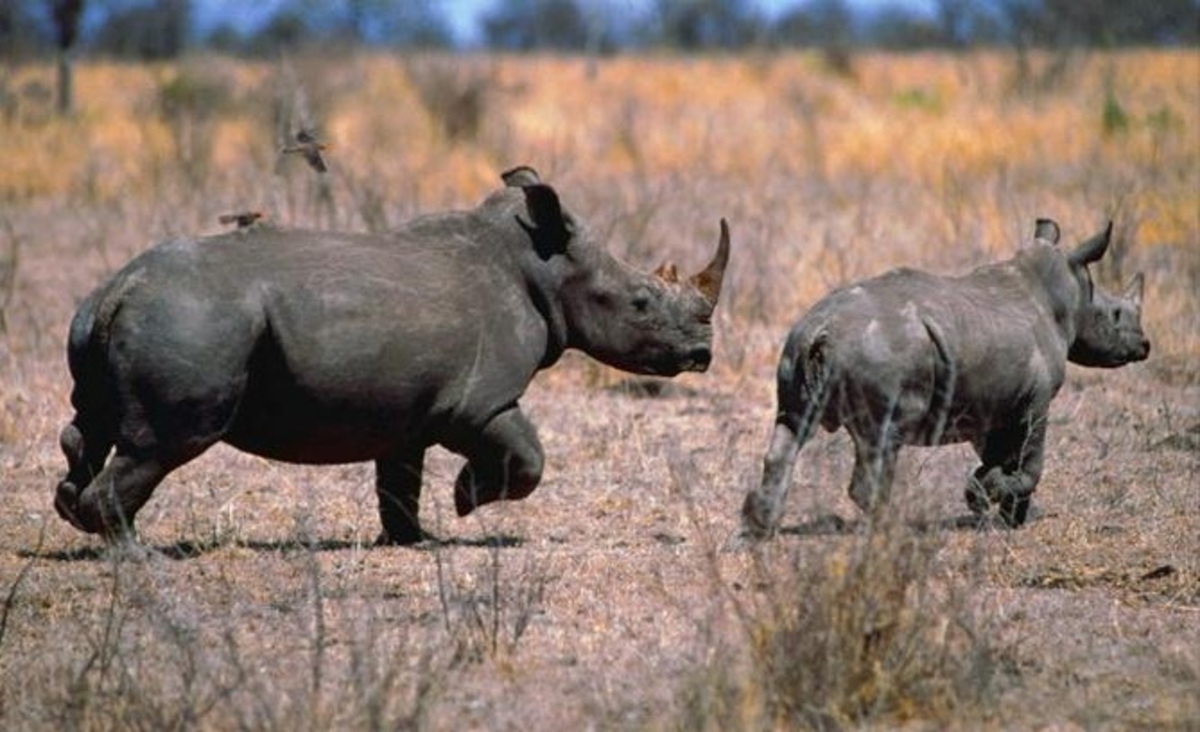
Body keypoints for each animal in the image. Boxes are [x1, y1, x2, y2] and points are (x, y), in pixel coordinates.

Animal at [54, 166, 729, 542]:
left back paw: (74, 514)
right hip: (191, 321)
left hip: (120, 319)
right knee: (166, 443)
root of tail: (117, 290)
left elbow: (399, 483)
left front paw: (414, 540)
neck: (545, 264)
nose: (702, 354)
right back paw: (137, 553)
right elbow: (529, 457)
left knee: (92, 425)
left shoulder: (409, 408)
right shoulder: (477, 402)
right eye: (641, 302)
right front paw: (465, 501)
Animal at [744, 216, 1147, 535]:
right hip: (879, 353)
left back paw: (761, 525)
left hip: (794, 348)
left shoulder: (993, 403)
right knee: (881, 442)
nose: (1144, 345)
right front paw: (997, 500)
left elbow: (1000, 455)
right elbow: (1031, 461)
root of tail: (822, 331)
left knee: (791, 428)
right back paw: (897, 526)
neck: (1066, 296)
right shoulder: (1037, 399)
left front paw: (994, 503)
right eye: (1114, 315)